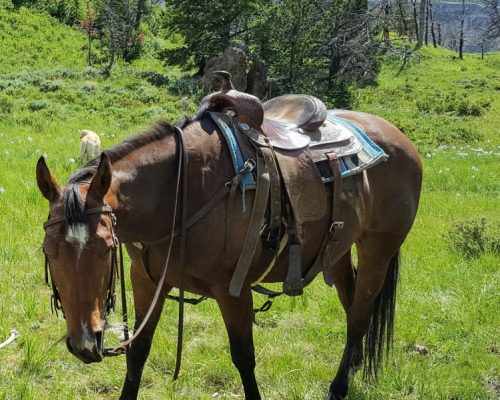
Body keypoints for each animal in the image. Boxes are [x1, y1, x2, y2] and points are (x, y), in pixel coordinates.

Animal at [36, 102, 422, 396]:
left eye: (105, 248)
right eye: (49, 252)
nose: (84, 344)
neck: (179, 192)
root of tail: (397, 135)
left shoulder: (233, 290)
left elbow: (244, 360)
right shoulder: (146, 280)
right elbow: (138, 354)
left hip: (379, 248)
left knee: (359, 316)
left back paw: (339, 387)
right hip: (338, 250)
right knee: (353, 303)